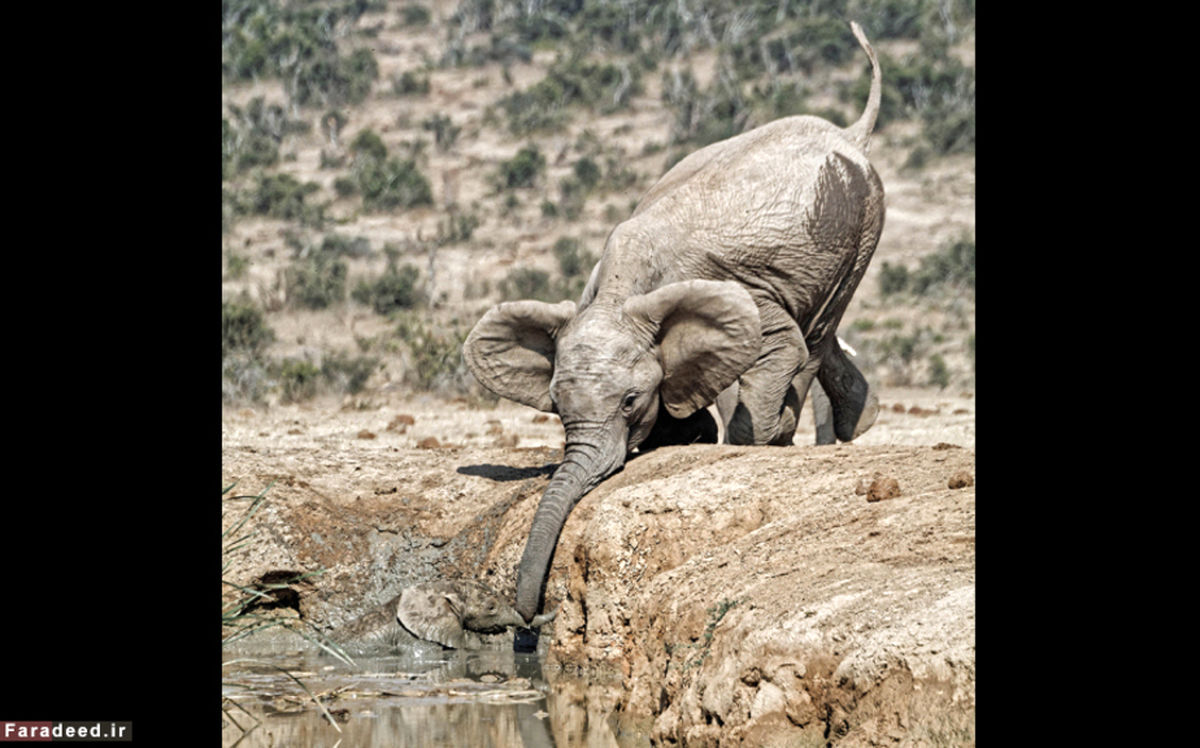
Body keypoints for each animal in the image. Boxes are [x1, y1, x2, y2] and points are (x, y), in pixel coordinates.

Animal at [463, 21, 888, 624]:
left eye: (628, 403)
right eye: (558, 407)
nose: (531, 614)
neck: (620, 289)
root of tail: (850, 132)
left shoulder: (741, 291)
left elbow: (776, 344)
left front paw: (747, 444)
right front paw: (690, 434)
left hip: (862, 224)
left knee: (813, 335)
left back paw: (791, 434)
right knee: (819, 335)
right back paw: (857, 422)